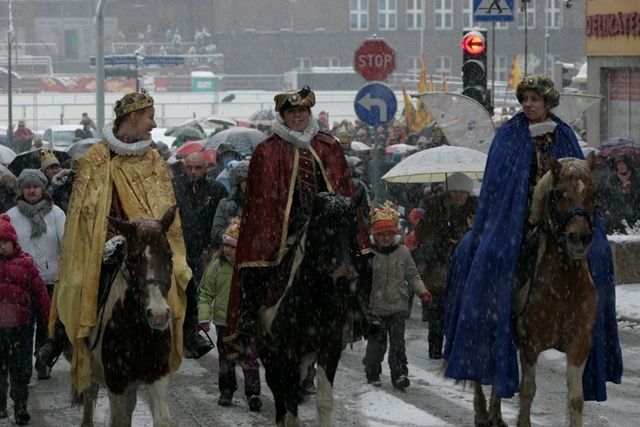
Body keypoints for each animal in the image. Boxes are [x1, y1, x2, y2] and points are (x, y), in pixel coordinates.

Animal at [72, 206, 178, 426]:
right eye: (133, 259)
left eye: (170, 256)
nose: (158, 315)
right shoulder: (116, 380)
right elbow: (119, 418)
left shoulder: (157, 374)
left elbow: (161, 418)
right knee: (89, 397)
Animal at [255, 191, 364, 427]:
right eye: (323, 228)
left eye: (355, 229)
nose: (346, 282)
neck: (314, 300)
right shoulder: (287, 351)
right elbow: (290, 404)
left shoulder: (330, 348)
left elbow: (324, 401)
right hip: (269, 352)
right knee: (278, 394)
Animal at [472, 154, 596, 427]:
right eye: (559, 192)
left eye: (593, 192)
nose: (579, 238)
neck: (562, 286)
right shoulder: (530, 344)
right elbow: (528, 390)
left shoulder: (579, 343)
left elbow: (576, 399)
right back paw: (482, 412)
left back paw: (495, 414)